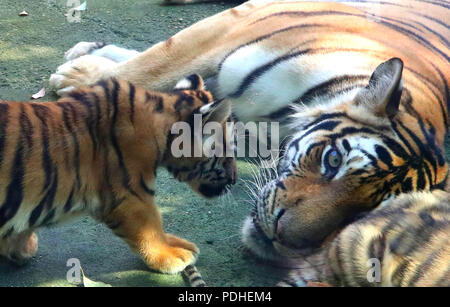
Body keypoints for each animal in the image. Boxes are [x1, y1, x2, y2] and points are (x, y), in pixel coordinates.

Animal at [0, 74, 237, 274]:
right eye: (228, 153)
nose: (234, 181)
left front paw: (19, 248)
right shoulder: (131, 195)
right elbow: (151, 226)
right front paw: (170, 256)